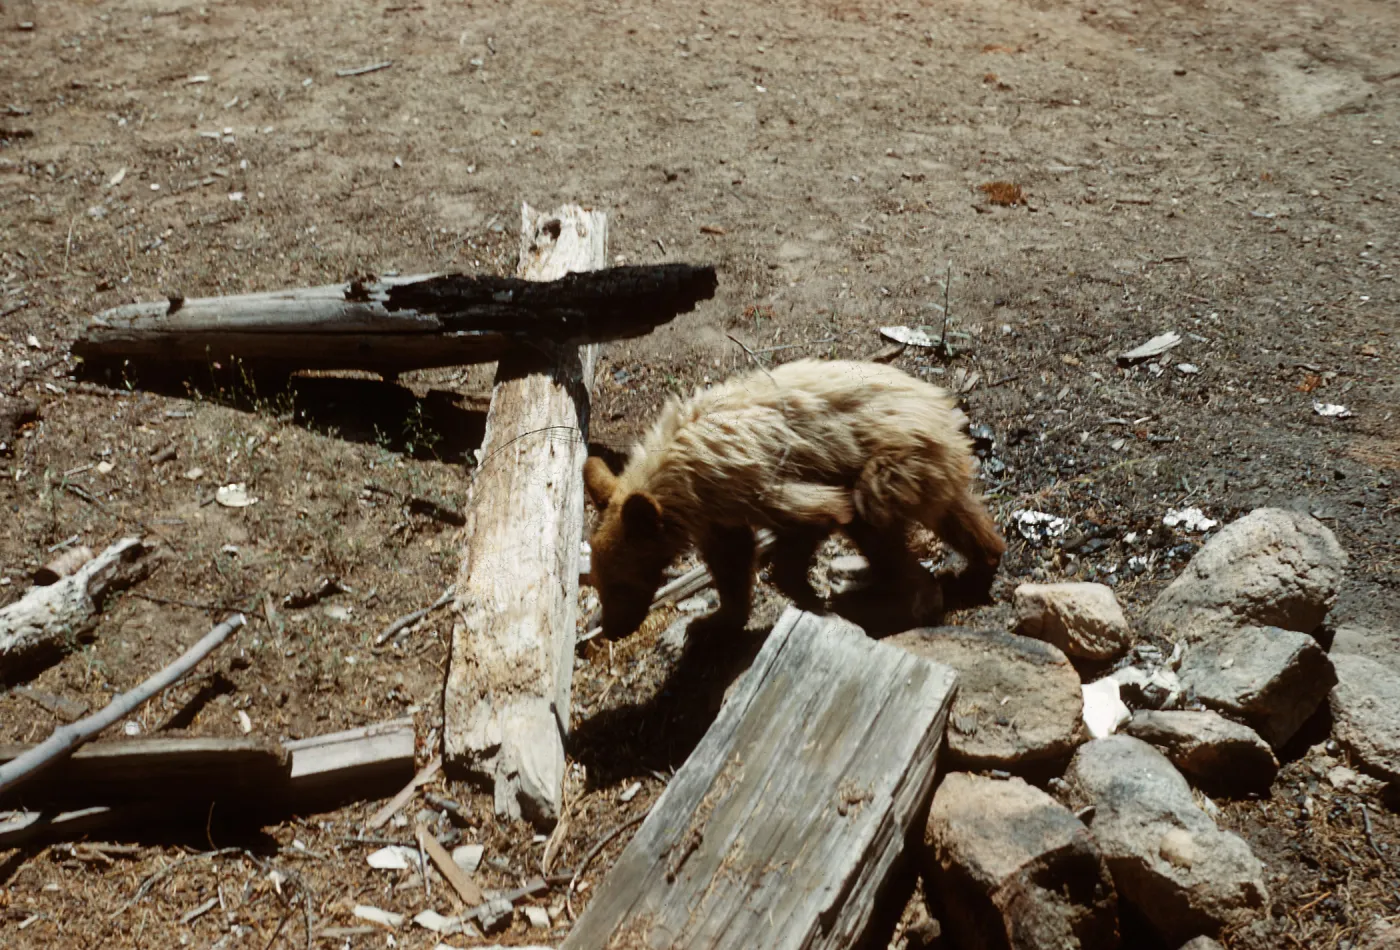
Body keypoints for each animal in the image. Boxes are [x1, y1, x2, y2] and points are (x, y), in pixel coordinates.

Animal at [583, 358, 1006, 640]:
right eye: (600, 583)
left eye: (621, 584)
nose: (613, 630)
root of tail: (943, 411)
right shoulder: (719, 509)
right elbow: (731, 560)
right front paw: (718, 619)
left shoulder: (748, 482)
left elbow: (817, 514)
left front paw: (805, 595)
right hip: (928, 467)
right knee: (958, 514)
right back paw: (980, 563)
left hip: (889, 462)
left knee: (873, 518)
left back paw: (908, 596)